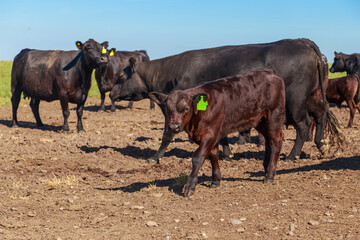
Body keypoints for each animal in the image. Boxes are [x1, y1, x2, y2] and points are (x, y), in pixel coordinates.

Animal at [109, 38, 340, 162]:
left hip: (296, 100)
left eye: (121, 76)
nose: (110, 93)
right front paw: (227, 154)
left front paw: (155, 157)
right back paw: (321, 145)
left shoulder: (175, 111)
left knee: (304, 124)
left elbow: (167, 135)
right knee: (321, 114)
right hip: (311, 96)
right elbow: (222, 136)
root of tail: (301, 41)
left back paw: (292, 155)